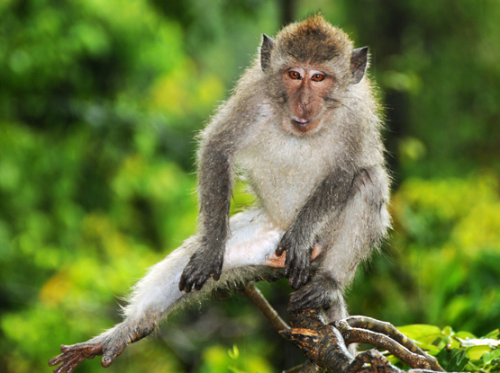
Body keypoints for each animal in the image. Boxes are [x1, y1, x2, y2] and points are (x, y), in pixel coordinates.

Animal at [47, 15, 390, 372]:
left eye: (319, 77)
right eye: (294, 74)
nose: (304, 102)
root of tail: (280, 226)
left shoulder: (357, 117)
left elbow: (350, 170)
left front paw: (302, 235)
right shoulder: (252, 97)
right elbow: (217, 149)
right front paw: (211, 248)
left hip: (319, 242)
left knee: (369, 181)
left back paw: (327, 283)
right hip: (258, 239)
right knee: (189, 260)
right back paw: (130, 328)